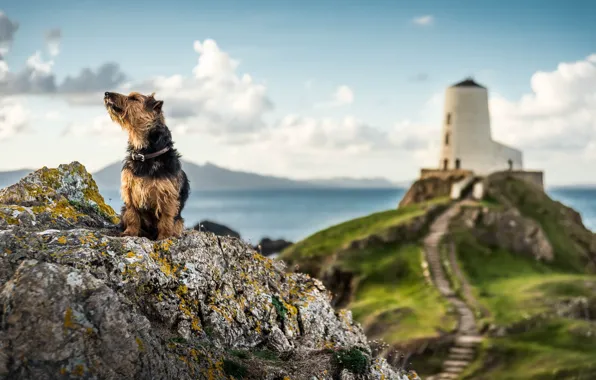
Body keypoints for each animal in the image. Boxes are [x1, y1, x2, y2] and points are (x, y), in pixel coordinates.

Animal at [103, 91, 190, 240]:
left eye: (134, 98)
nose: (106, 93)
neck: (145, 154)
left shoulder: (168, 195)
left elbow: (166, 219)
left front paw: (164, 238)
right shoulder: (130, 191)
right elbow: (132, 215)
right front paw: (130, 232)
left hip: (179, 221)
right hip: (123, 211)